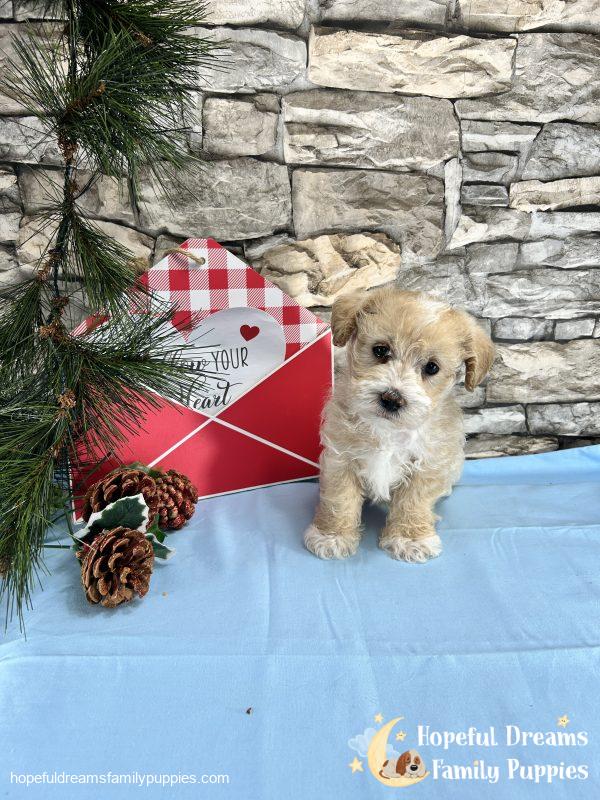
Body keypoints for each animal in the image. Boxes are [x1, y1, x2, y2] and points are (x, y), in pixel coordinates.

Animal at [302, 290, 494, 564]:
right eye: (380, 350)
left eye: (432, 367)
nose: (392, 398)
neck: (388, 430)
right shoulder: (341, 458)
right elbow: (339, 499)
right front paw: (331, 536)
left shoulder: (426, 466)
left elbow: (412, 503)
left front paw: (409, 539)